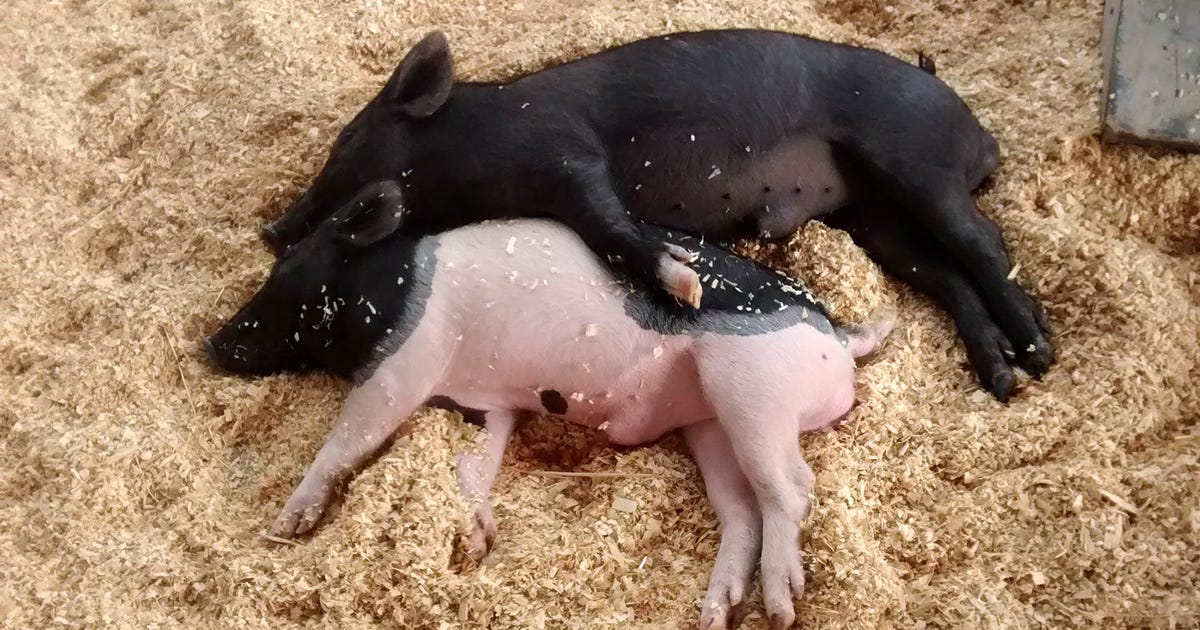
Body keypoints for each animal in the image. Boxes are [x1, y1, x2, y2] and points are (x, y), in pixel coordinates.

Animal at [208, 182, 894, 629]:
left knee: (792, 488)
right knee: (742, 510)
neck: (388, 286)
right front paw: (479, 542)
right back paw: (715, 612)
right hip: (711, 424)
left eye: (285, 272)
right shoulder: (485, 406)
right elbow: (473, 466)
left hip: (753, 386)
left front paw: (286, 525)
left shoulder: (403, 362)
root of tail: (841, 339)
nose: (212, 343)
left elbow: (349, 437)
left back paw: (781, 606)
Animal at [256, 28, 1050, 401]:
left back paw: (1040, 352)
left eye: (346, 143)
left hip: (913, 161)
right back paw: (1003, 378)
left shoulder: (569, 159)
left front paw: (686, 285)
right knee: (943, 273)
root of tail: (978, 133)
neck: (479, 146)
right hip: (872, 217)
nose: (271, 229)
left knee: (982, 242)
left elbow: (610, 228)